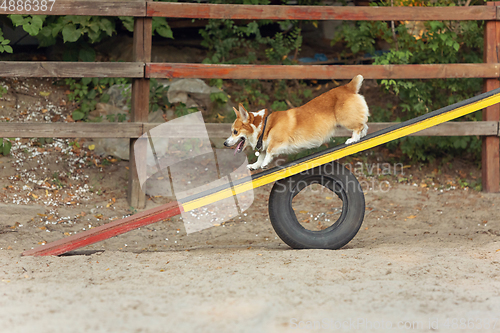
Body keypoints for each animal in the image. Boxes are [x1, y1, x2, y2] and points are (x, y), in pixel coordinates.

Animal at [225, 74, 370, 170]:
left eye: (235, 131)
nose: (225, 143)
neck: (263, 127)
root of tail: (348, 87)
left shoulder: (278, 142)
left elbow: (269, 151)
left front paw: (265, 163)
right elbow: (260, 156)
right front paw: (255, 165)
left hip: (345, 119)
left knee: (359, 126)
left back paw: (353, 139)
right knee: (365, 125)